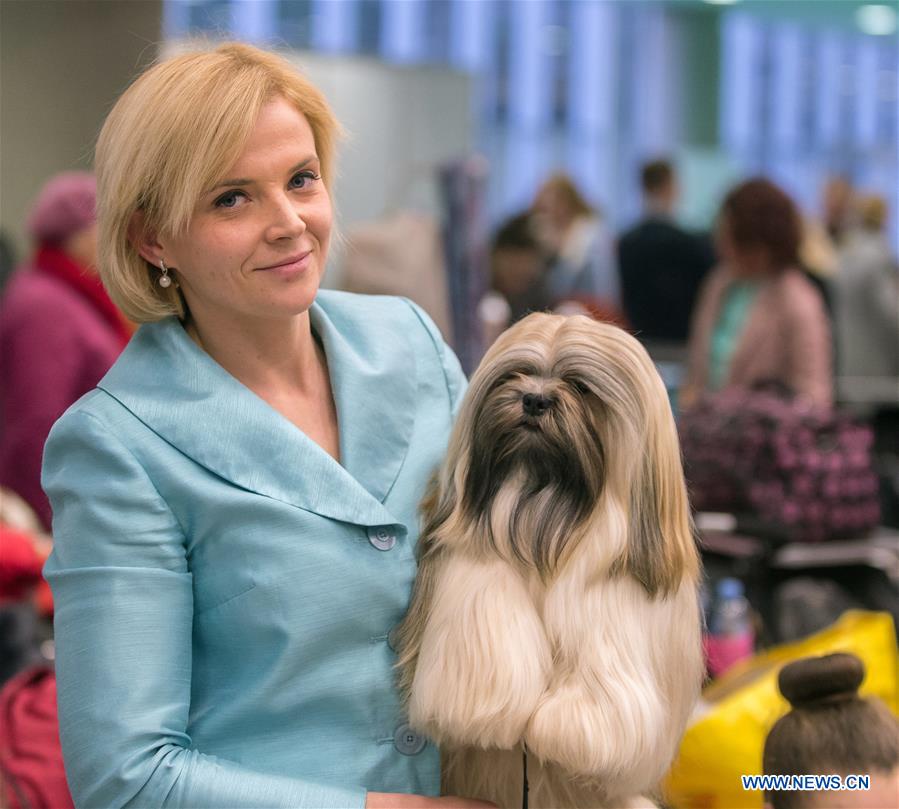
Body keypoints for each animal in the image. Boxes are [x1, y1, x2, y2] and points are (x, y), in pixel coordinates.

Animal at [400, 314, 704, 808]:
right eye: (516, 374)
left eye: (580, 386)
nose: (534, 399)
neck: (543, 505)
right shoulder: (475, 557)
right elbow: (489, 599)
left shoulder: (614, 581)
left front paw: (571, 727)